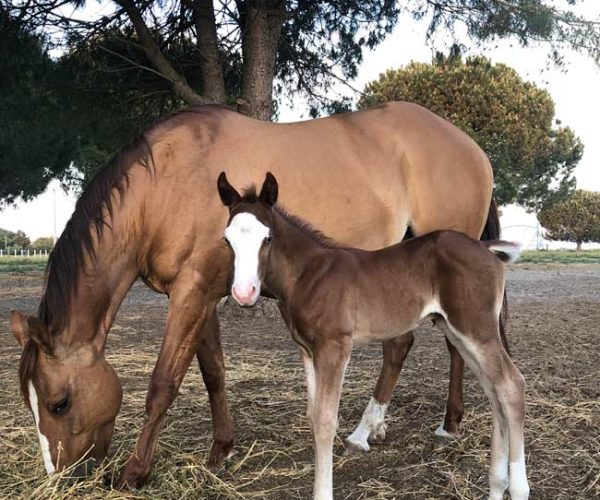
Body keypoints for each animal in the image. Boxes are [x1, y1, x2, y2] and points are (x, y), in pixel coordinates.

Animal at [10, 102, 496, 488]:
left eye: (58, 403)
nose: (62, 477)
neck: (166, 184)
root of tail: (471, 146)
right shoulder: (201, 295)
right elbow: (213, 373)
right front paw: (221, 450)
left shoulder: (192, 293)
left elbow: (163, 383)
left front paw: (135, 472)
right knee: (403, 345)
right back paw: (376, 428)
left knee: (454, 344)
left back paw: (442, 424)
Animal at [218, 173, 528, 500]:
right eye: (227, 240)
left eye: (268, 238)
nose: (243, 293)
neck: (309, 275)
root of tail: (487, 249)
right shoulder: (307, 349)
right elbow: (313, 415)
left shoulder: (335, 346)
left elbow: (326, 420)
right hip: (458, 331)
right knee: (495, 391)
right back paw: (497, 484)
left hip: (476, 328)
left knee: (511, 385)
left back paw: (518, 488)